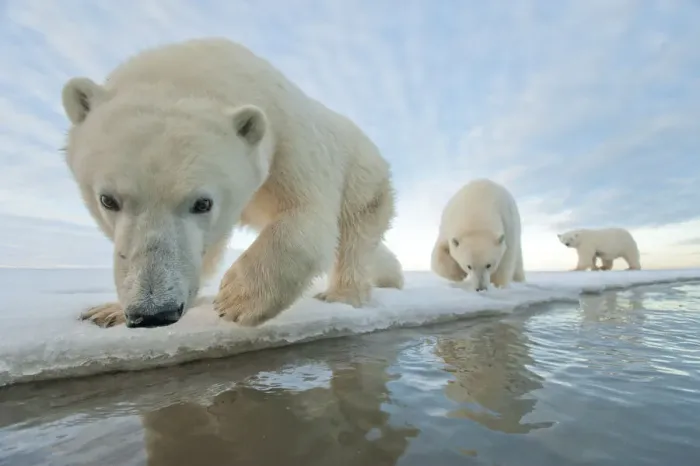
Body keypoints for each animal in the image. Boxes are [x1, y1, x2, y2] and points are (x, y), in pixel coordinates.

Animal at [60, 37, 404, 329]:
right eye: (107, 200)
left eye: (203, 202)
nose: (153, 312)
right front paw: (108, 311)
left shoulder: (287, 137)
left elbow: (307, 216)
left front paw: (237, 299)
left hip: (364, 183)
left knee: (354, 240)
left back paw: (342, 295)